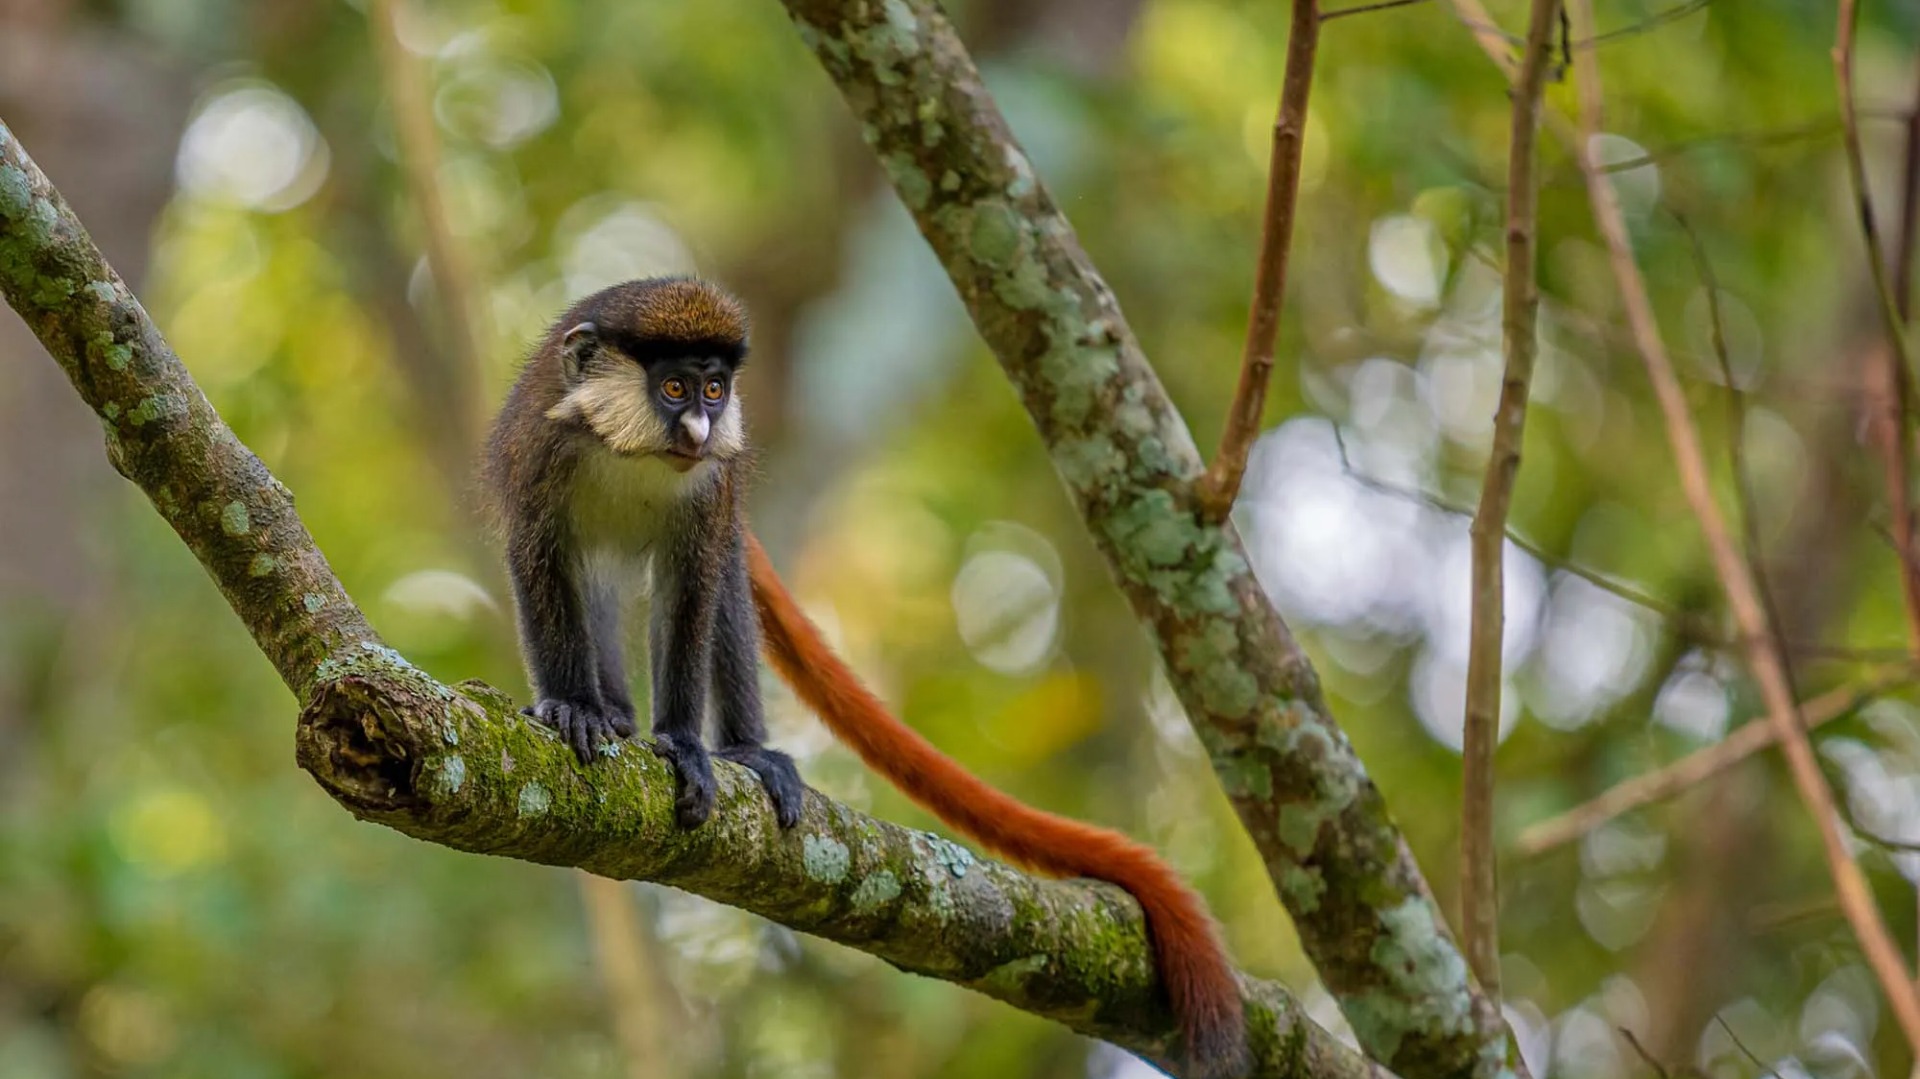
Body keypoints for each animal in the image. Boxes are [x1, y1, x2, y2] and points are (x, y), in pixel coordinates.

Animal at [482, 277, 1246, 1076]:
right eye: (674, 387)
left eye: (715, 388)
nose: (699, 427)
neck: (632, 453)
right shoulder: (538, 457)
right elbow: (540, 560)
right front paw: (573, 707)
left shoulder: (713, 493)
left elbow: (695, 591)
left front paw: (685, 744)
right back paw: (613, 713)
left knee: (724, 590)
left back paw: (743, 749)